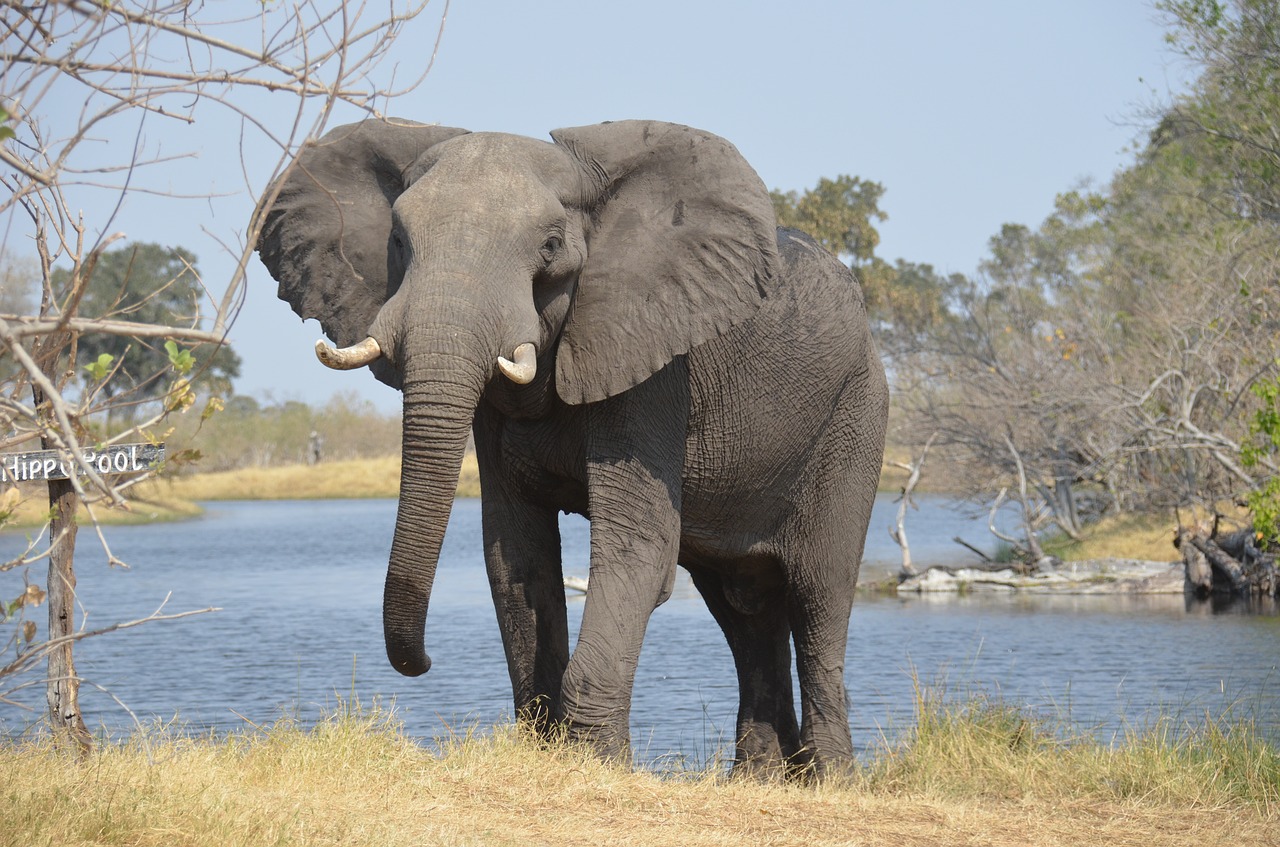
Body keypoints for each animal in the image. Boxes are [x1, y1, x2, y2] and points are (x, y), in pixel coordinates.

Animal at [250, 119, 890, 783]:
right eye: (398, 240)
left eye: (551, 245)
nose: (423, 663)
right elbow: (515, 554)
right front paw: (547, 748)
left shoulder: (653, 363)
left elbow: (638, 547)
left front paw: (599, 763)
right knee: (743, 606)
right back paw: (760, 778)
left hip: (857, 415)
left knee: (819, 593)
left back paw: (831, 781)